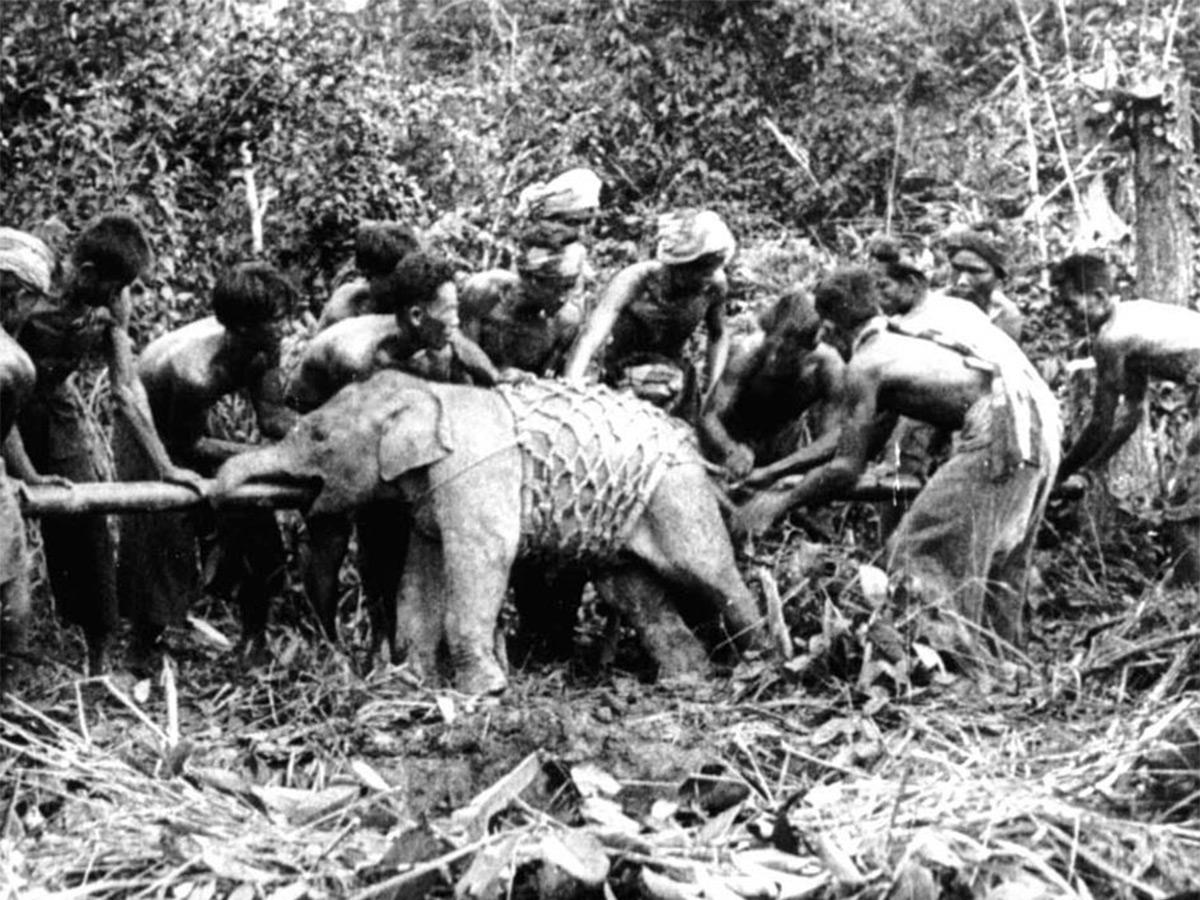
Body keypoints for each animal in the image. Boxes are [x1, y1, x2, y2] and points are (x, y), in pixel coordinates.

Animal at [213, 370, 768, 693]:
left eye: (318, 435)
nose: (215, 492)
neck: (429, 394)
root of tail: (692, 446)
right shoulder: (432, 498)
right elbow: (422, 575)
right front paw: (411, 683)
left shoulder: (474, 473)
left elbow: (484, 558)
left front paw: (484, 692)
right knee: (635, 593)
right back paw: (686, 681)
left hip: (677, 494)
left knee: (710, 572)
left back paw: (762, 665)